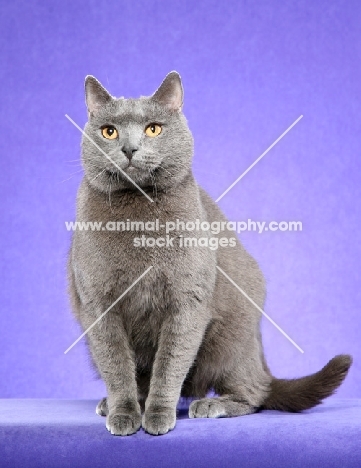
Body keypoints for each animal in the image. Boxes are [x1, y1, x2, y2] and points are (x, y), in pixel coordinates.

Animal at [66, 70, 350, 436]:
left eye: (153, 129)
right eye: (109, 131)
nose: (129, 148)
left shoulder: (188, 301)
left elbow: (169, 363)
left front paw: (158, 415)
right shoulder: (98, 305)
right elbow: (116, 365)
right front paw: (125, 413)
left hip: (230, 340)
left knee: (255, 393)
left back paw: (213, 404)